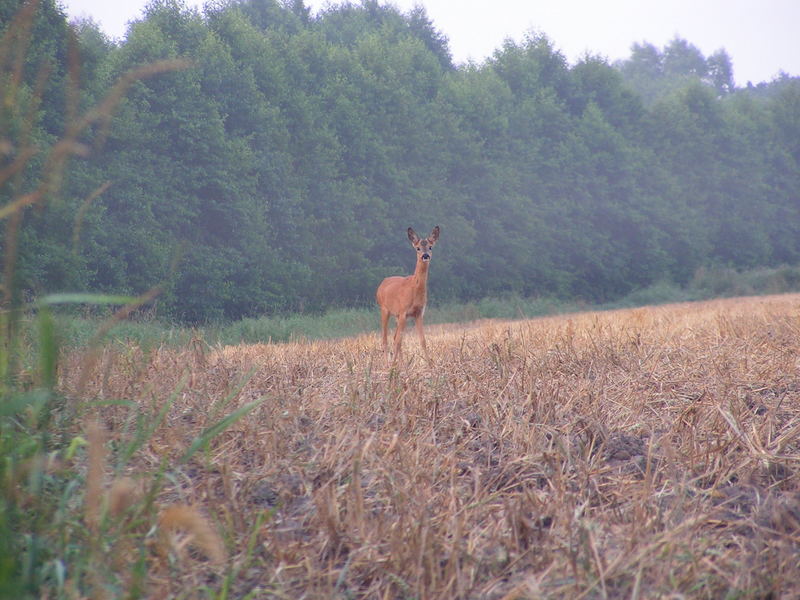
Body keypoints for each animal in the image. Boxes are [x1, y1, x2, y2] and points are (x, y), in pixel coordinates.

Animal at [376, 226, 440, 364]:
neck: (414, 290)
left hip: (397, 316)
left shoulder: (418, 313)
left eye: (430, 247)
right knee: (385, 339)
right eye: (418, 248)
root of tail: (382, 284)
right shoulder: (404, 311)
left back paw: (402, 364)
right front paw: (393, 365)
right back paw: (387, 364)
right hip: (384, 309)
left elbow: (422, 340)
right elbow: (398, 341)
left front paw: (430, 364)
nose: (425, 256)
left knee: (394, 337)